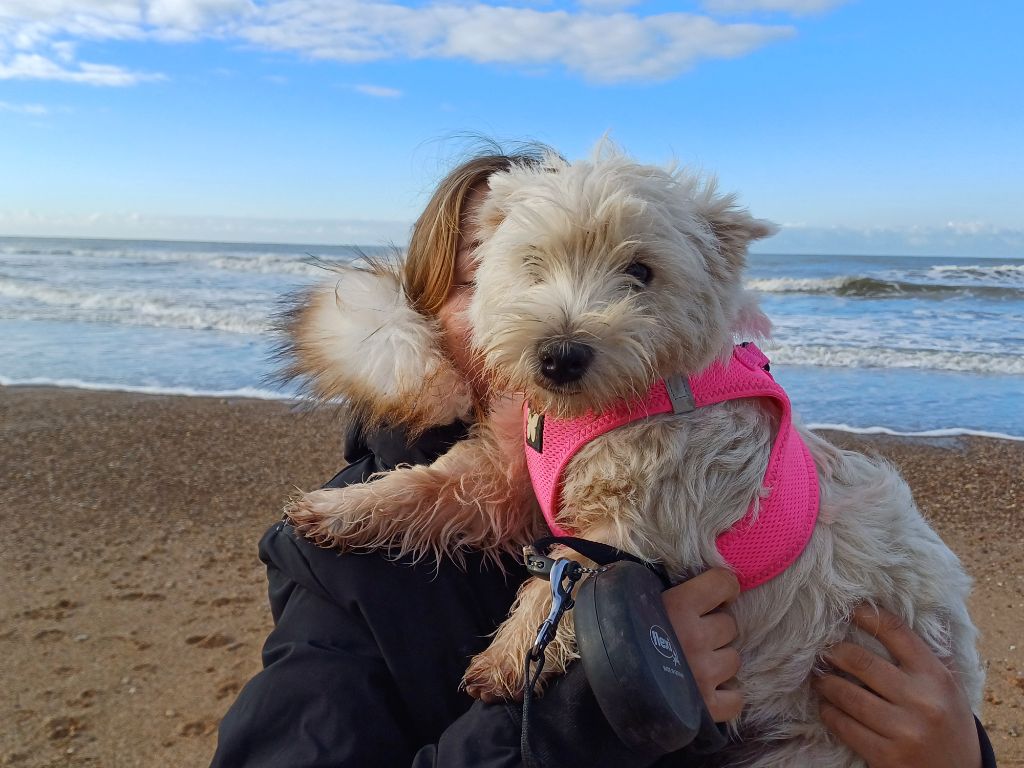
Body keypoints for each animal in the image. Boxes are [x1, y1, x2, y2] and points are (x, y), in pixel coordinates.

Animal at [282, 147, 983, 765]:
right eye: (532, 262)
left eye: (641, 271)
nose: (559, 356)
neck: (607, 408)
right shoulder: (510, 475)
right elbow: (431, 486)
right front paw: (336, 509)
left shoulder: (633, 523)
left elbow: (558, 584)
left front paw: (506, 660)